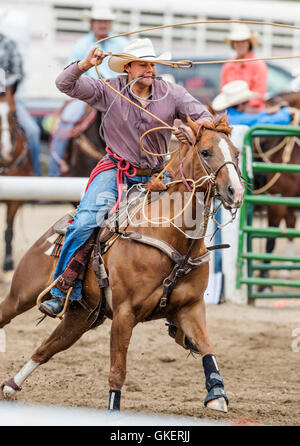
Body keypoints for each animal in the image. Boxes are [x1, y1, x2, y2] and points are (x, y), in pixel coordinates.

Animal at [0, 116, 244, 414]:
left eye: (236, 153)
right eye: (206, 152)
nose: (236, 191)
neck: (172, 238)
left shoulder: (191, 307)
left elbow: (207, 345)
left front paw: (217, 393)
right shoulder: (125, 313)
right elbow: (118, 370)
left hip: (80, 316)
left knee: (46, 349)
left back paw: (11, 385)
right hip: (21, 294)